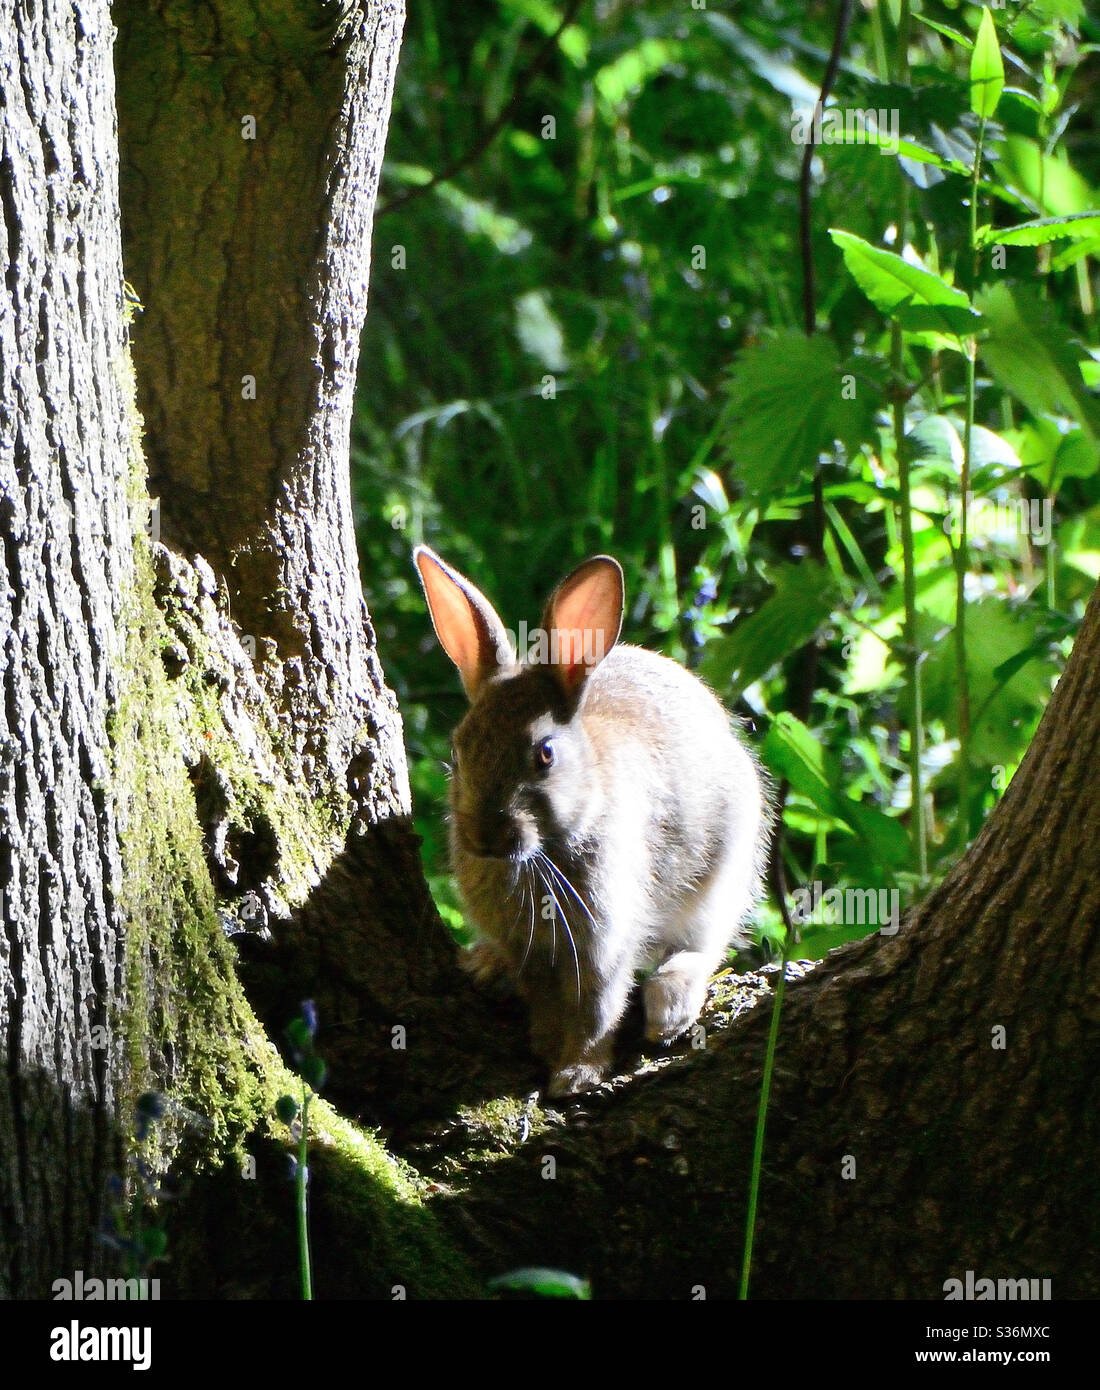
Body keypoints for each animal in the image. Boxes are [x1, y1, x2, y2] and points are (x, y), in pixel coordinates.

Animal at [413, 544, 770, 1097]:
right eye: (458, 749)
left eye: (544, 755)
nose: (485, 838)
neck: (547, 850)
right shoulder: (530, 951)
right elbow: (544, 1000)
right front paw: (545, 1047)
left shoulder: (604, 941)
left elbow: (598, 1008)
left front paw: (576, 1075)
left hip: (725, 867)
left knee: (705, 944)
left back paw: (668, 1006)